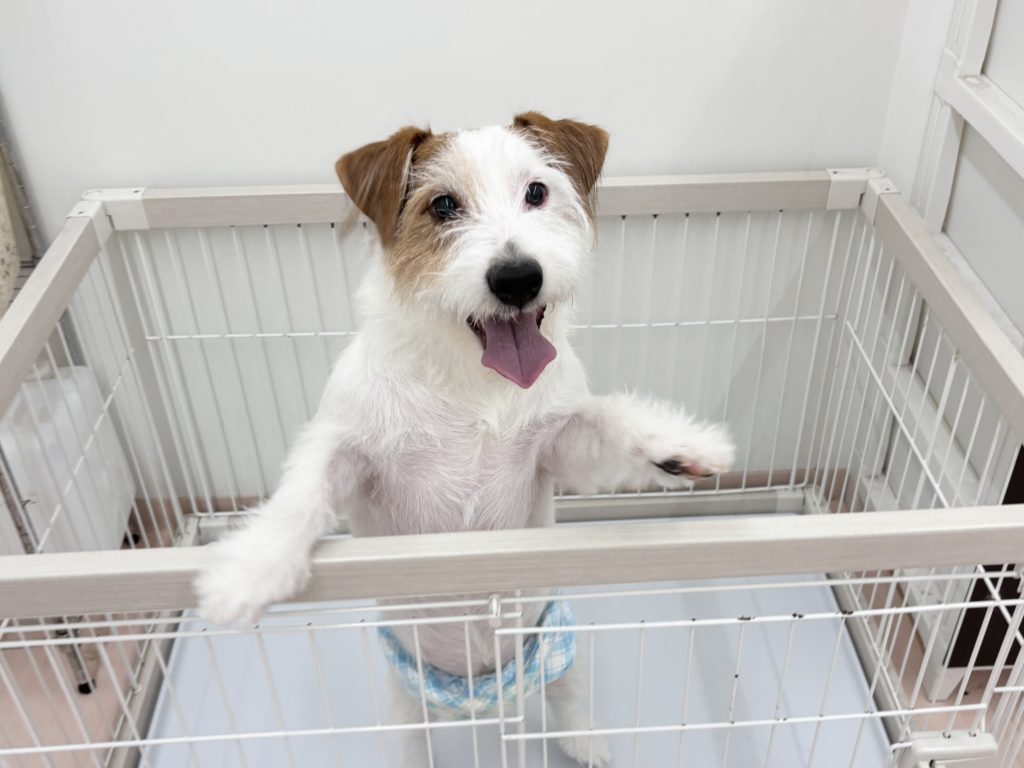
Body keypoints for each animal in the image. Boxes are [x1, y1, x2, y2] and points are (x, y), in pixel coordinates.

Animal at [196, 112, 735, 767]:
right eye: (443, 205)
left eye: (537, 192)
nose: (518, 277)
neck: (475, 383)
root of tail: (486, 698)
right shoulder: (349, 449)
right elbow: (304, 491)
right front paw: (250, 568)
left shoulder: (558, 447)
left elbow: (609, 418)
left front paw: (684, 446)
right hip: (410, 699)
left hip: (559, 648)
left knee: (565, 702)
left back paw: (584, 739)